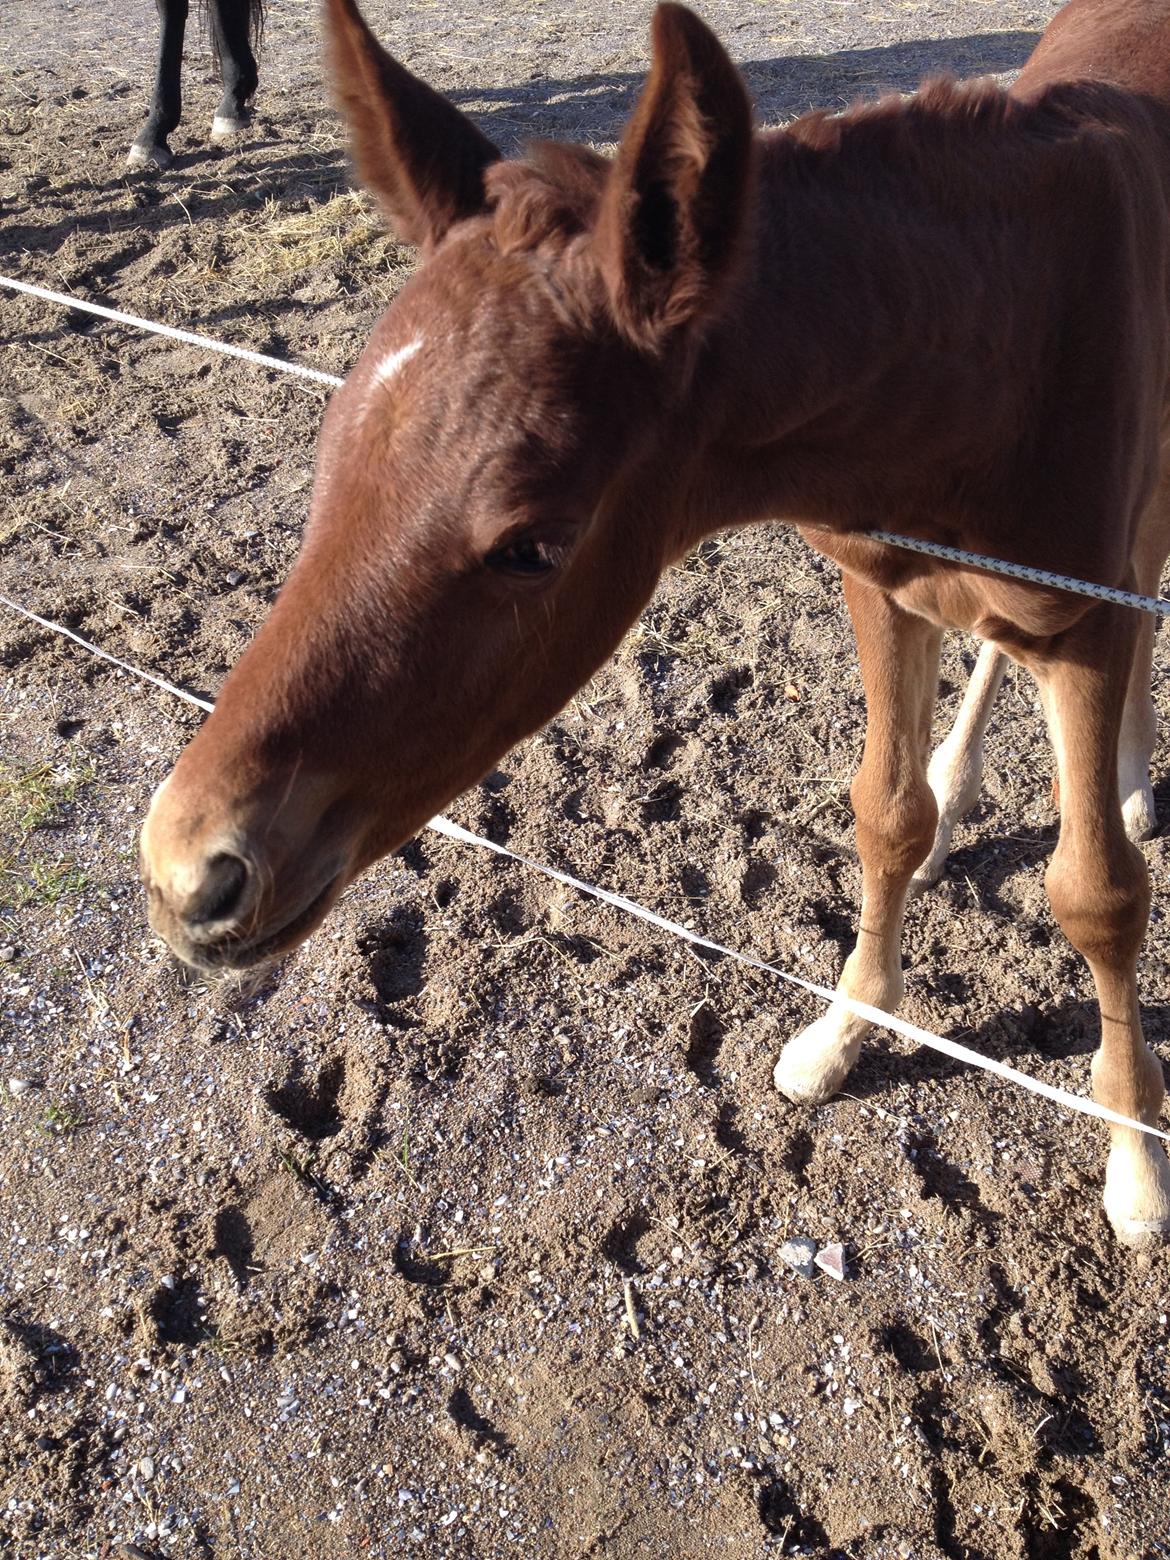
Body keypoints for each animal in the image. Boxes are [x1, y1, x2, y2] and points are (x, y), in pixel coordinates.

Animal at [141, 0, 1170, 1241]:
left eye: (531, 544)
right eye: (333, 452)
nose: (190, 873)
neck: (990, 327)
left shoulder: (1088, 623)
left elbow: (1099, 894)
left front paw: (1136, 1159)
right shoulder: (882, 585)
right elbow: (884, 816)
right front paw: (843, 1031)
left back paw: (1127, 775)